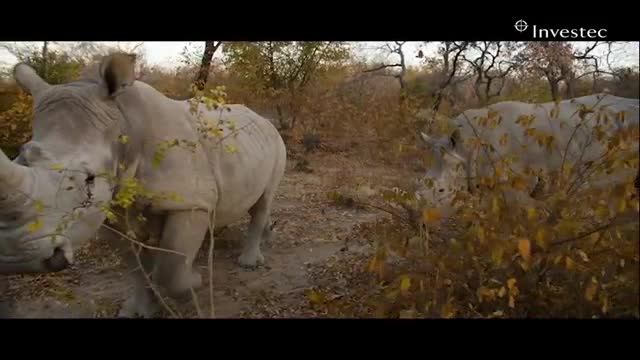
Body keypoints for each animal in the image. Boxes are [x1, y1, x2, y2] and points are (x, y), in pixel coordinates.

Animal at [0, 52, 286, 316]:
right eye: (22, 159)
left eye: (90, 179)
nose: (17, 259)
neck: (124, 123)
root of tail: (264, 120)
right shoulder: (109, 211)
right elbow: (135, 266)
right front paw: (140, 310)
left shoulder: (191, 202)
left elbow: (171, 272)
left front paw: (194, 280)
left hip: (276, 143)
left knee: (264, 200)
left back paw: (249, 263)